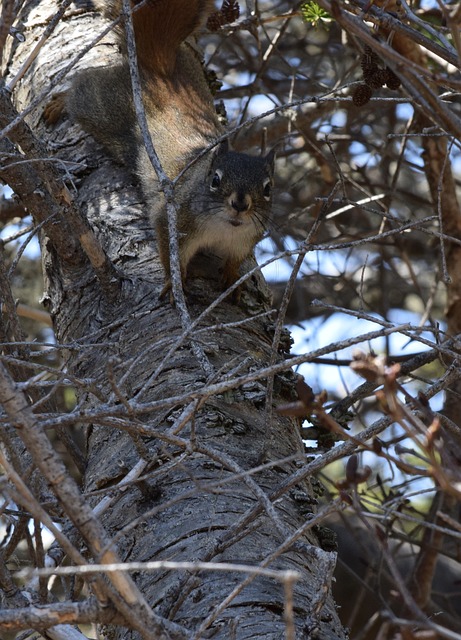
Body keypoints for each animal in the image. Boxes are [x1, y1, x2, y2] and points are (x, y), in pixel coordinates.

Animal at [44, 0, 274, 300]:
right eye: (215, 179)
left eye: (268, 188)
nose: (240, 204)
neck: (223, 228)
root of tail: (159, 69)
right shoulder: (172, 219)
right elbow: (169, 255)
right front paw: (173, 284)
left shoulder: (244, 242)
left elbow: (235, 262)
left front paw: (233, 281)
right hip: (104, 105)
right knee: (82, 87)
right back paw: (59, 101)